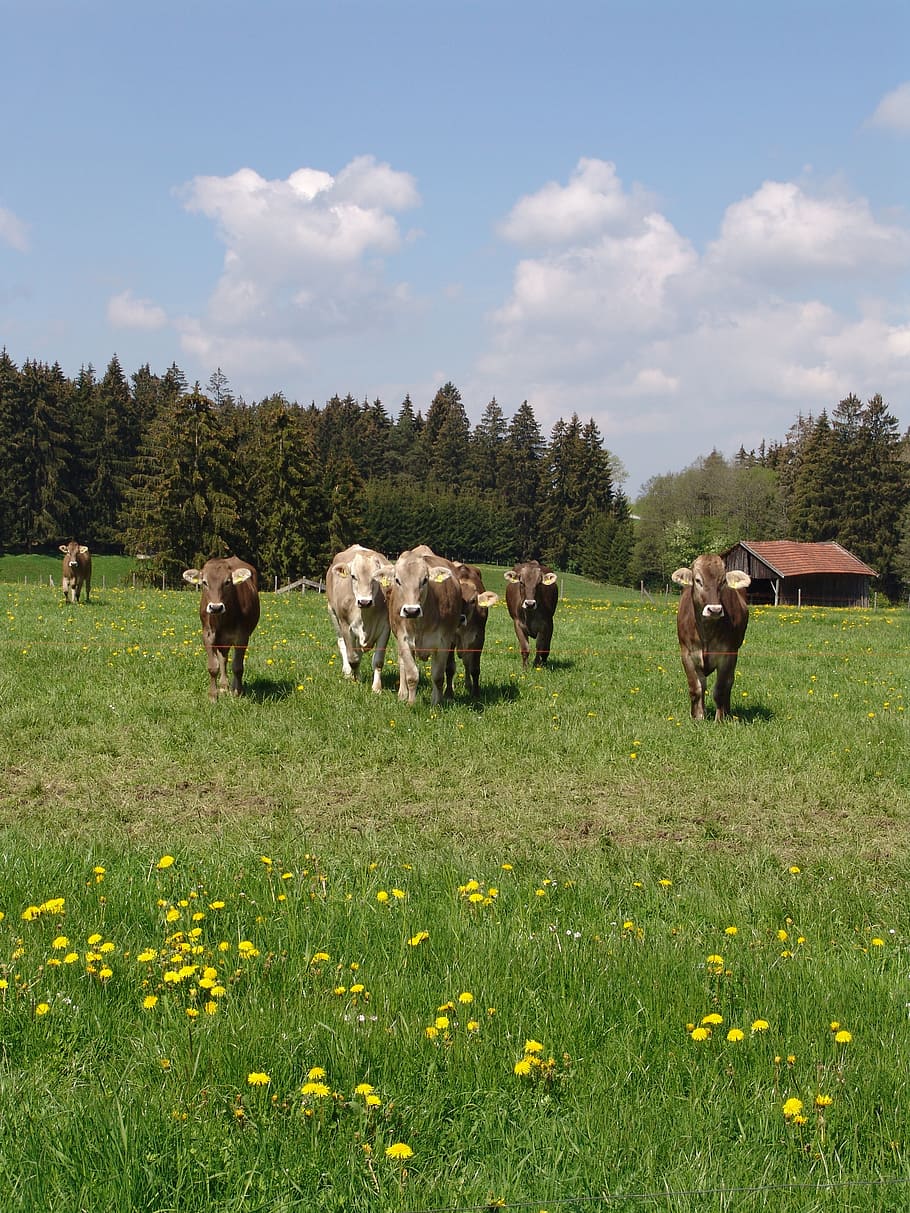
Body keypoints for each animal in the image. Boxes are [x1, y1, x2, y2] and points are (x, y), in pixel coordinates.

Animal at [182, 557, 261, 701]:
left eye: (227, 582)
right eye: (204, 582)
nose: (216, 607)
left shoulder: (242, 637)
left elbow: (238, 667)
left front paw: (238, 692)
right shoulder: (207, 635)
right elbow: (214, 666)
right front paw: (213, 695)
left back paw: (232, 687)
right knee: (223, 659)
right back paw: (224, 686)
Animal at [326, 544, 391, 693]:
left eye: (375, 578)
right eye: (353, 576)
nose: (364, 602)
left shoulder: (385, 627)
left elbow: (378, 661)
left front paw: (376, 688)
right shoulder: (346, 626)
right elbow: (353, 658)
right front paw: (355, 680)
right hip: (333, 613)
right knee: (342, 644)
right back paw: (347, 672)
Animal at [380, 549, 463, 706]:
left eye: (425, 580)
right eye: (397, 580)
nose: (411, 610)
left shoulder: (443, 642)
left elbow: (438, 676)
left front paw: (436, 702)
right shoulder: (403, 639)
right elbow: (411, 675)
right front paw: (411, 702)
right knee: (402, 665)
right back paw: (402, 694)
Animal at [411, 546, 499, 697]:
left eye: (473, 600)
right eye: (455, 599)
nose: (460, 618)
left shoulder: (479, 637)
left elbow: (474, 667)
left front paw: (476, 692)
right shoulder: (449, 638)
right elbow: (450, 667)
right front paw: (448, 693)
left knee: (467, 662)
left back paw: (468, 684)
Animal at [671, 554, 751, 721]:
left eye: (723, 582)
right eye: (698, 580)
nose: (714, 610)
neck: (706, 633)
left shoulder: (728, 655)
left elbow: (720, 689)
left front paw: (720, 719)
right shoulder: (687, 654)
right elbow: (695, 688)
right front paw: (697, 717)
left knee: (729, 683)